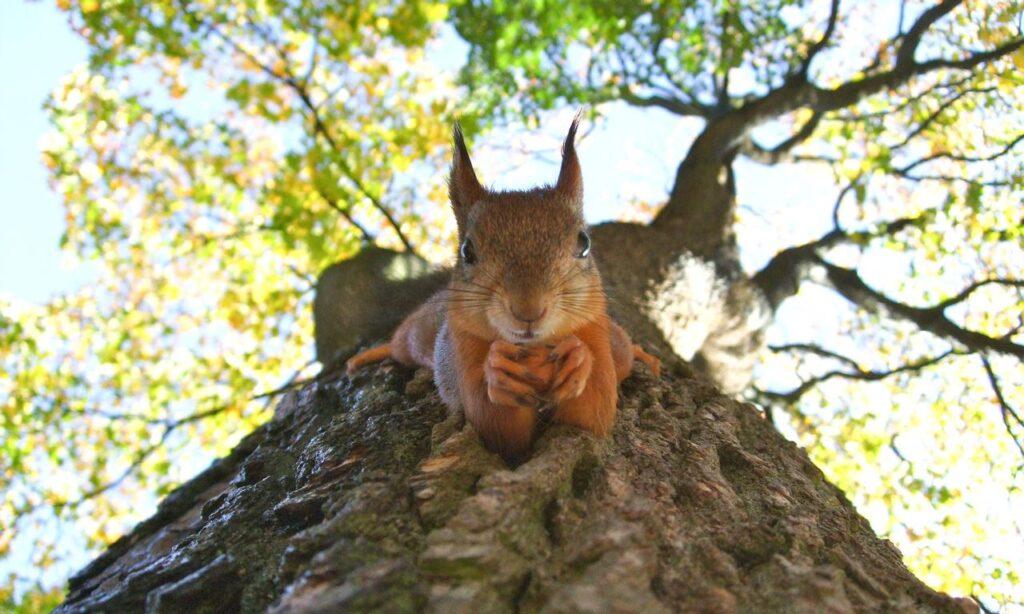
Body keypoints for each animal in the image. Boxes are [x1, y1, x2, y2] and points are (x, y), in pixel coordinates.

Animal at [348, 115, 659, 460]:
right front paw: (498, 371)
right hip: (417, 335)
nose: (528, 310)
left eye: (584, 243)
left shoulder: (596, 335)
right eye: (467, 251)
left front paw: (578, 359)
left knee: (625, 349)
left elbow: (593, 413)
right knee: (399, 344)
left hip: (616, 343)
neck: (535, 350)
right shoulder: (463, 349)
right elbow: (497, 428)